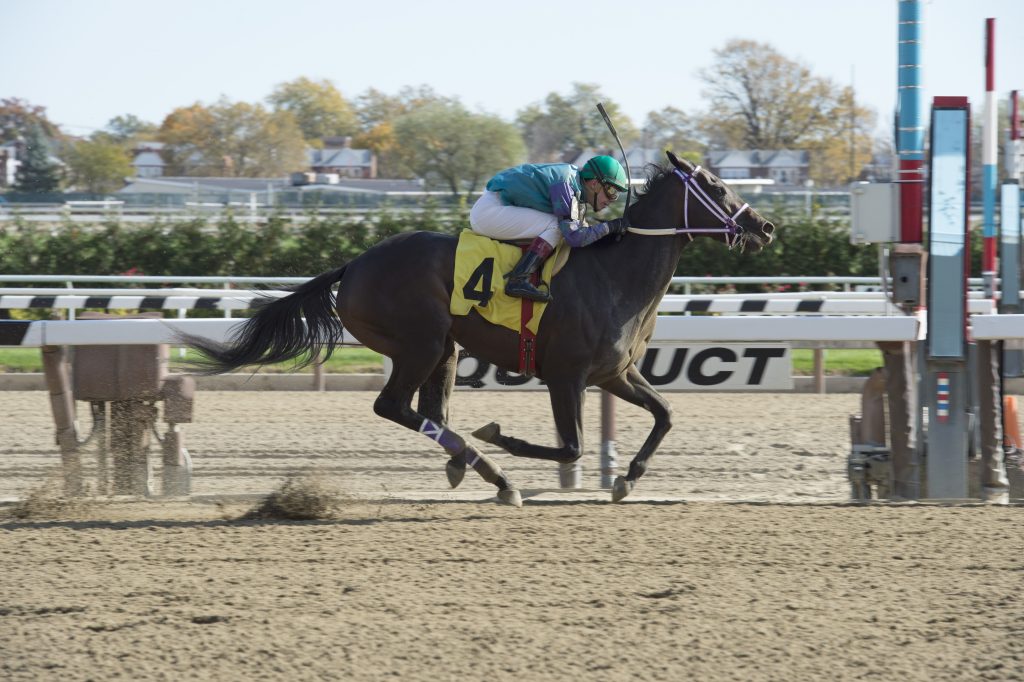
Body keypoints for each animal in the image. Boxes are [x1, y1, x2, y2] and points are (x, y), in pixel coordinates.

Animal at [186, 153, 774, 503]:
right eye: (716, 186)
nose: (764, 226)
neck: (615, 274)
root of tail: (353, 266)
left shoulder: (615, 373)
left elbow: (665, 413)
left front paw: (628, 478)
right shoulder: (566, 375)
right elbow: (572, 448)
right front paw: (500, 437)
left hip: (443, 348)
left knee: (427, 412)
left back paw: (470, 466)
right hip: (419, 343)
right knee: (393, 406)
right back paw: (495, 472)